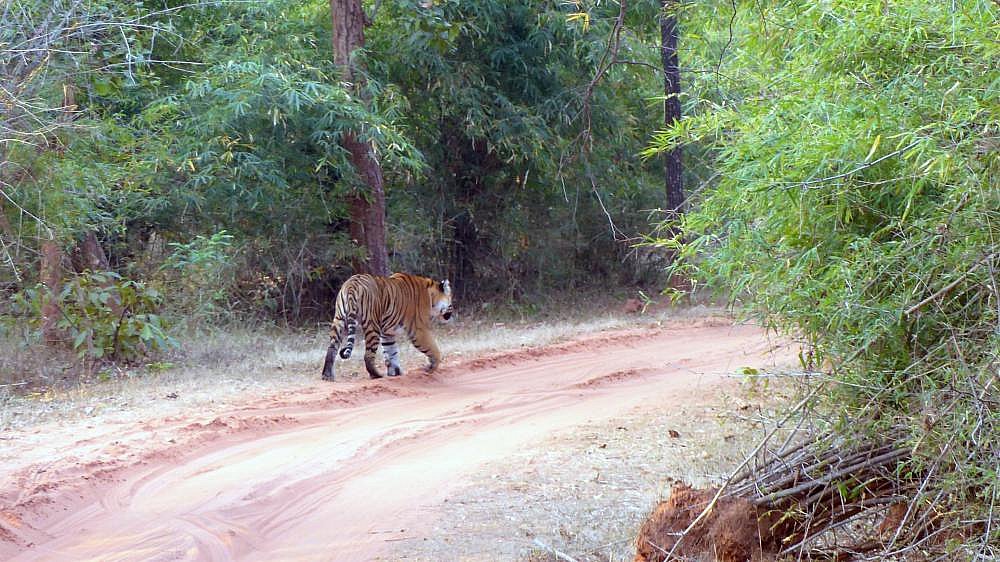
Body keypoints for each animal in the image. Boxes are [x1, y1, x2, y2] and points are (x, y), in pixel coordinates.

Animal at [321, 272, 454, 381]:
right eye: (451, 301)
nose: (452, 313)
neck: (431, 296)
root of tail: (352, 284)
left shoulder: (387, 333)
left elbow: (391, 351)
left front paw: (396, 372)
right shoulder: (418, 330)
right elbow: (434, 349)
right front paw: (431, 367)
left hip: (339, 320)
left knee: (331, 349)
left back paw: (327, 376)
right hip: (372, 325)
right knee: (368, 355)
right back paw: (377, 375)